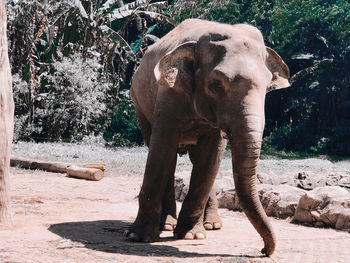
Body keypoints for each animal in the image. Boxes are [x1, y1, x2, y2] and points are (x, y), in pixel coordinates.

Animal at [126, 19, 290, 258]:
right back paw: (167, 225)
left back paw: (211, 226)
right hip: (139, 105)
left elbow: (210, 159)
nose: (263, 250)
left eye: (268, 86)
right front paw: (137, 237)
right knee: (168, 157)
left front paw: (192, 236)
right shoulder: (169, 93)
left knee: (201, 162)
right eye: (215, 85)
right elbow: (161, 151)